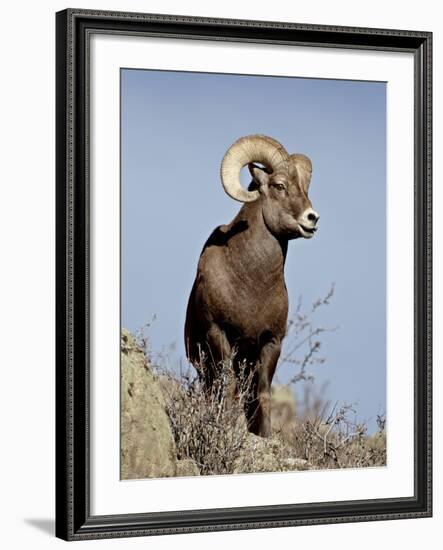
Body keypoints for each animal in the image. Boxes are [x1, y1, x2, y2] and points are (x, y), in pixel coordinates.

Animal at [185, 135, 320, 440]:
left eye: (304, 188)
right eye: (279, 185)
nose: (312, 219)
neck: (251, 284)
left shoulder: (271, 343)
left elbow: (262, 395)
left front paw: (265, 436)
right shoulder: (219, 334)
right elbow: (229, 388)